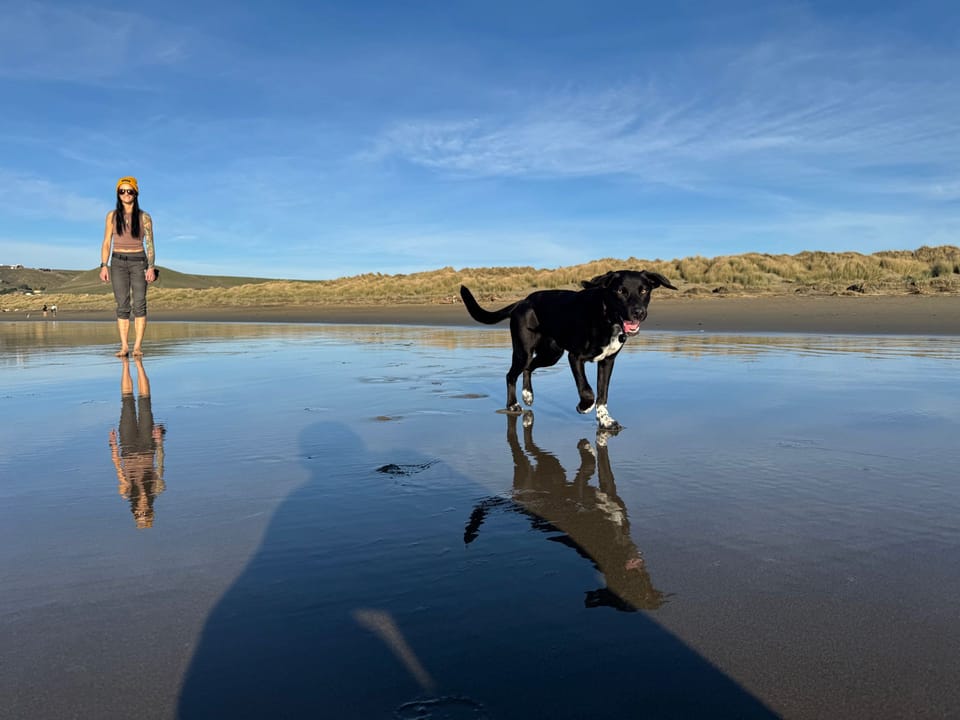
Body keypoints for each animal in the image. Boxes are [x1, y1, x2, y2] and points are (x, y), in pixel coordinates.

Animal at [460, 270, 677, 430]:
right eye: (620, 291)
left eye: (644, 290)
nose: (638, 312)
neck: (606, 317)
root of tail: (523, 301)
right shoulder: (576, 357)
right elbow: (588, 391)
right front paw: (584, 407)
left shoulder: (607, 361)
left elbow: (603, 394)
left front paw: (605, 420)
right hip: (524, 351)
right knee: (511, 374)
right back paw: (513, 404)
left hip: (551, 354)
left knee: (529, 368)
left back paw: (528, 394)